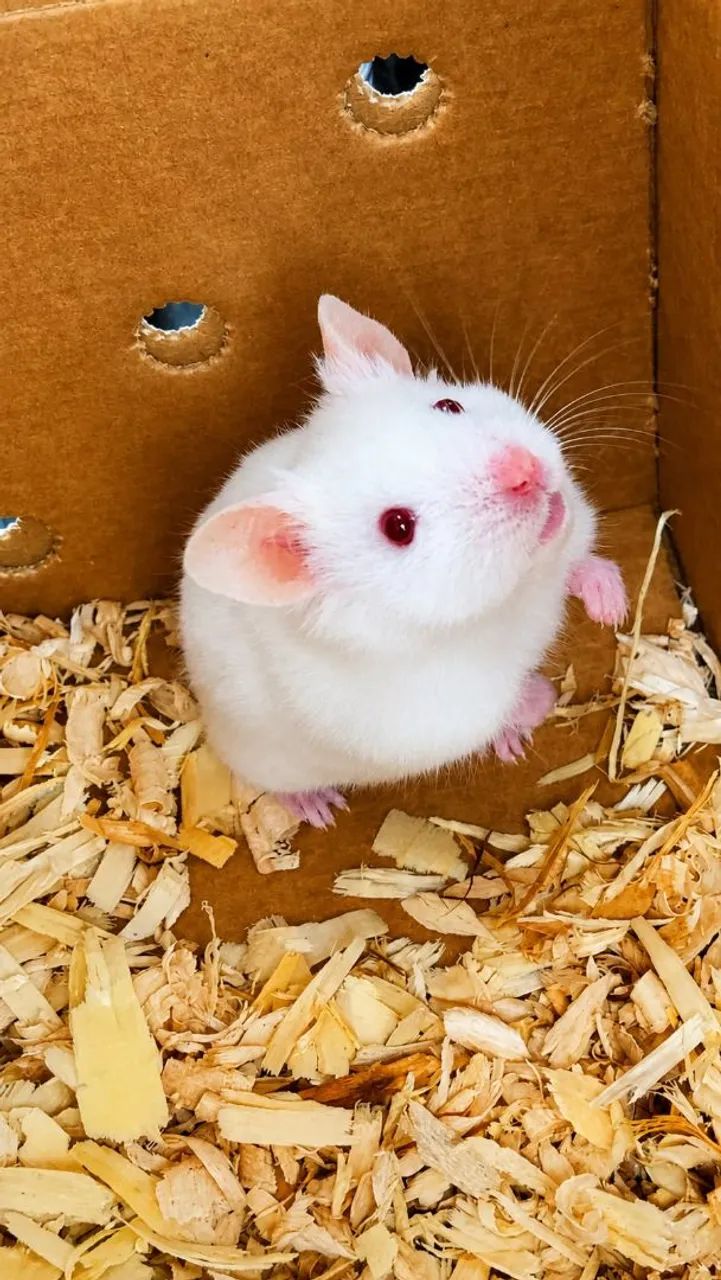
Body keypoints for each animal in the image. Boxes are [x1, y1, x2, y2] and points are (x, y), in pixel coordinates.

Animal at [180, 295, 627, 828]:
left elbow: (578, 552)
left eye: (449, 405)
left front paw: (612, 606)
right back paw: (318, 809)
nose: (524, 472)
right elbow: (502, 708)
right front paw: (540, 703)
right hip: (259, 758)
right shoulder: (439, 720)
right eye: (397, 526)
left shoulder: (572, 525)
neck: (511, 594)